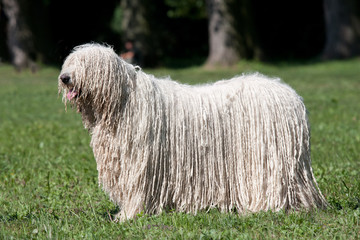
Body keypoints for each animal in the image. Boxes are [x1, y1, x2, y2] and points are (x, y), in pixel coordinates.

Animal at [58, 43, 326, 221]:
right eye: (69, 62)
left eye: (85, 63)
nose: (64, 78)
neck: (124, 100)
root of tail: (292, 97)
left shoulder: (141, 163)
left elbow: (136, 191)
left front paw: (128, 216)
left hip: (268, 158)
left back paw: (263, 208)